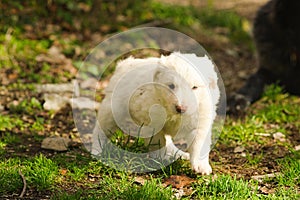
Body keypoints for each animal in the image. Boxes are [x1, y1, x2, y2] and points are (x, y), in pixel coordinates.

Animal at [92, 52, 220, 174]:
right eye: (171, 86)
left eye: (194, 87)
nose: (181, 108)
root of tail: (124, 63)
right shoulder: (151, 121)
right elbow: (158, 141)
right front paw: (161, 159)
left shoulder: (201, 119)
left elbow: (199, 143)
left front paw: (201, 166)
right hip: (113, 109)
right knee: (100, 130)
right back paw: (96, 151)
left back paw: (179, 154)